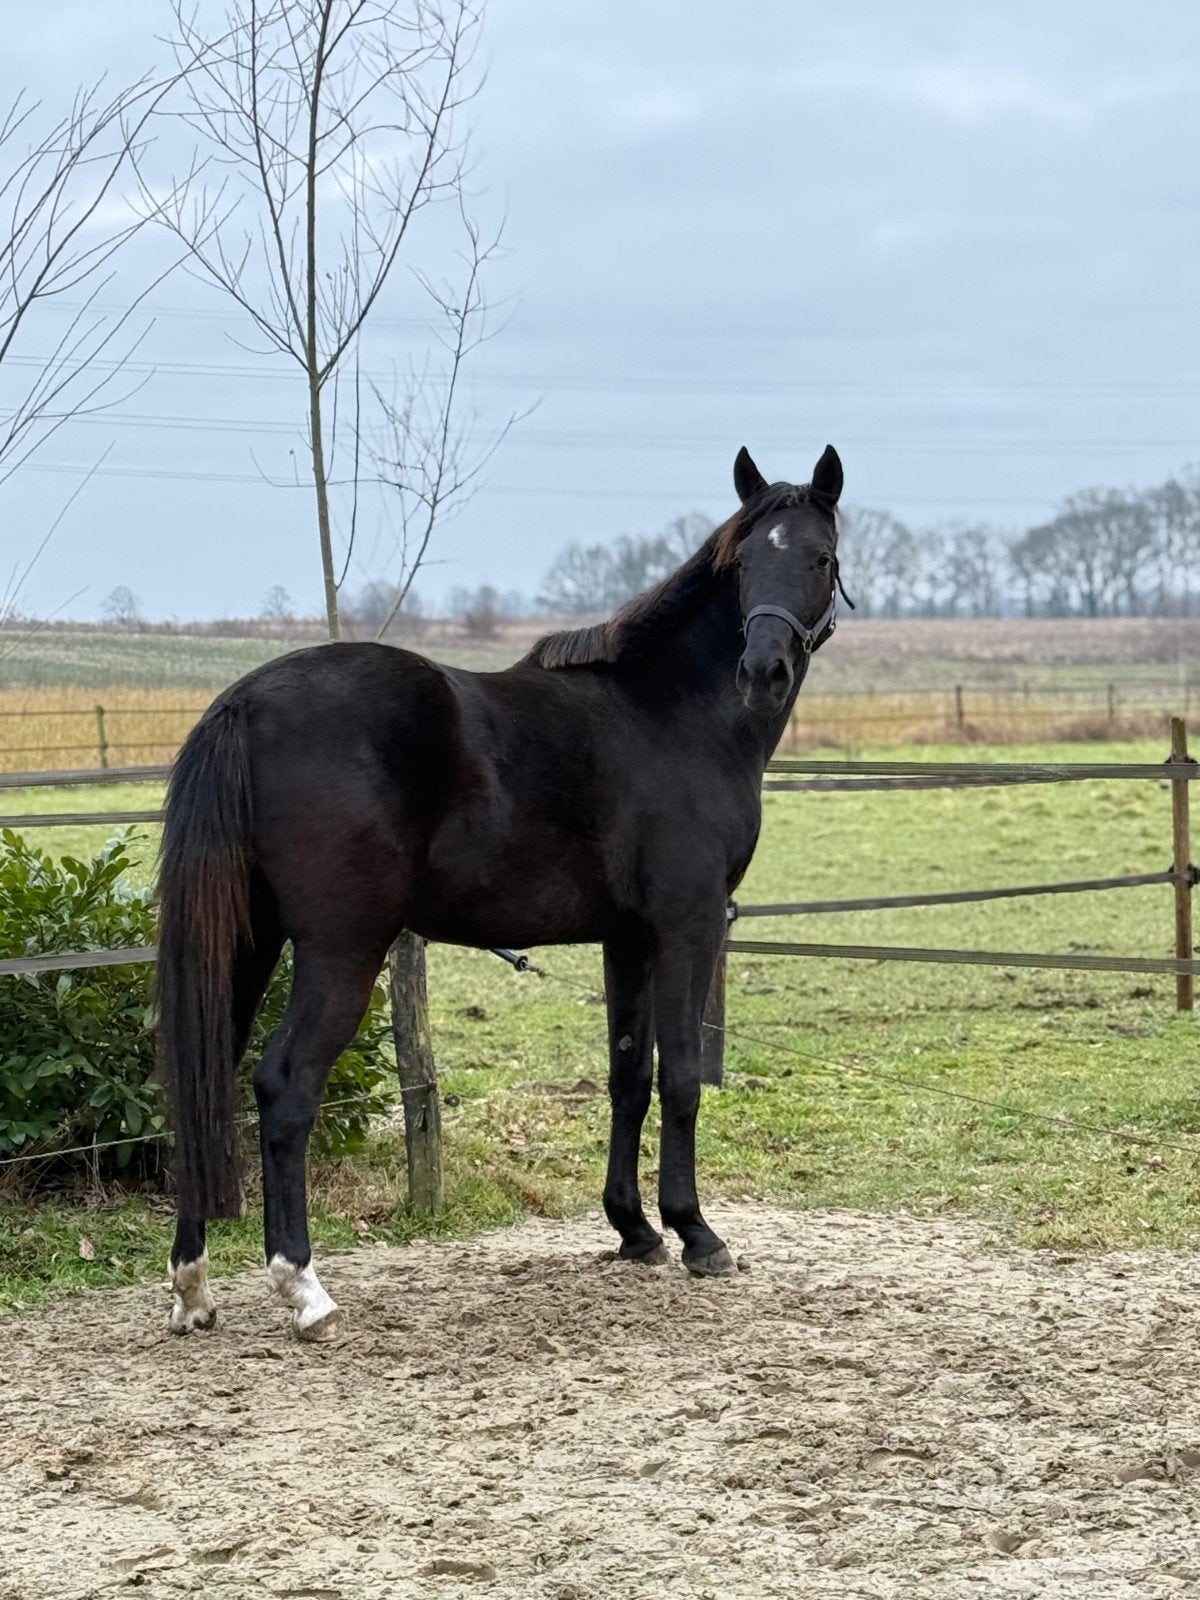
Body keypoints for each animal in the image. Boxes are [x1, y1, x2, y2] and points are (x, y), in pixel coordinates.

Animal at [158, 443, 847, 1340]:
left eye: (819, 557)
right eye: (746, 562)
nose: (763, 670)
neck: (673, 714)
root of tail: (244, 704)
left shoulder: (626, 937)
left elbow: (629, 1075)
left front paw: (634, 1230)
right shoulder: (688, 924)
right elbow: (683, 1078)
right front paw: (696, 1233)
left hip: (247, 941)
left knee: (200, 1082)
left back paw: (192, 1288)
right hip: (341, 950)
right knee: (283, 1087)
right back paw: (303, 1288)